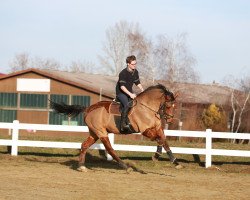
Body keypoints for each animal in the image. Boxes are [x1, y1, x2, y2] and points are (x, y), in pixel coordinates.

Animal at [50, 84, 180, 172]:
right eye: (168, 105)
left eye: (175, 106)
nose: (170, 119)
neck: (147, 108)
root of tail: (88, 109)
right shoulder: (145, 131)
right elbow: (160, 139)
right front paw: (156, 156)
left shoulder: (158, 128)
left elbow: (164, 140)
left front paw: (175, 161)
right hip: (101, 133)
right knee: (110, 150)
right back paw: (125, 167)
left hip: (94, 133)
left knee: (84, 145)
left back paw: (82, 166)